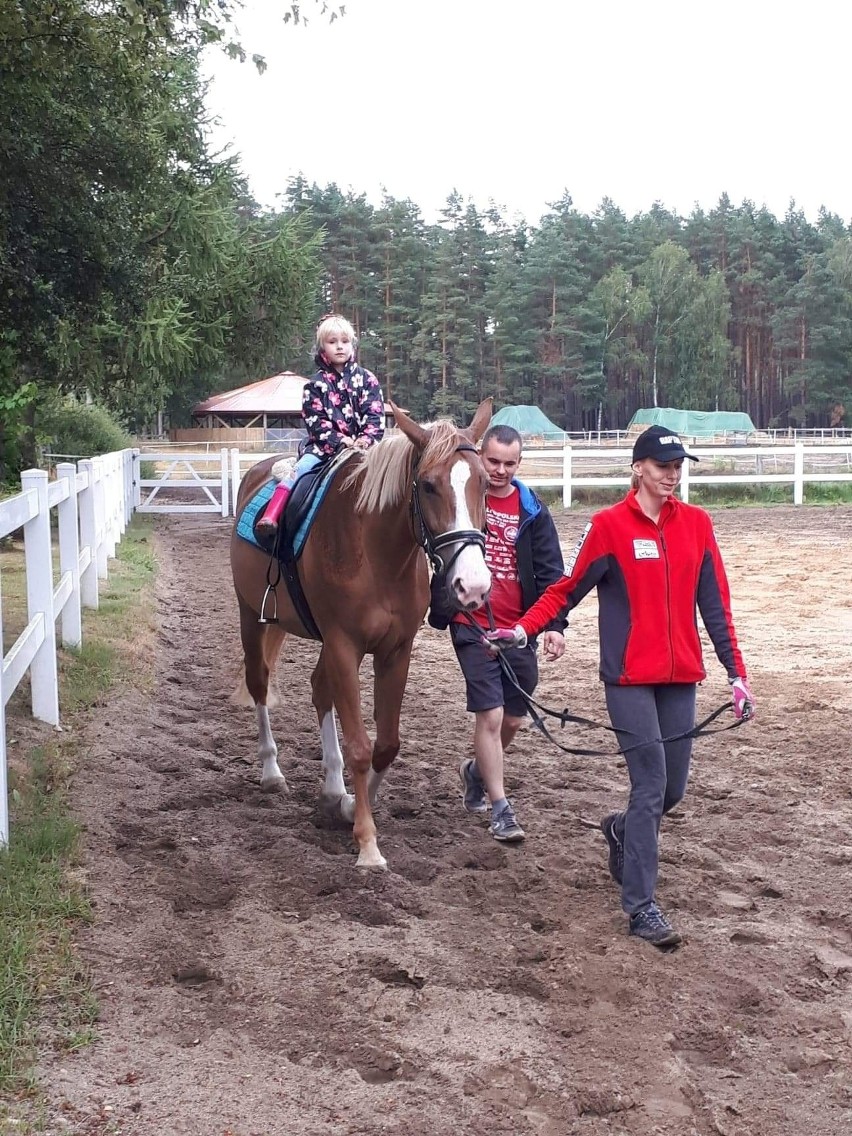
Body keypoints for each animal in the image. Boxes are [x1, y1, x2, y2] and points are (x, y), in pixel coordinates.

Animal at [230, 399, 493, 867]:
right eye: (428, 485)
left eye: (483, 482)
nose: (474, 585)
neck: (376, 552)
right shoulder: (343, 645)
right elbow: (359, 746)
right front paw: (368, 844)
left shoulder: (396, 651)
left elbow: (386, 743)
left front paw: (352, 805)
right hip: (252, 618)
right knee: (259, 684)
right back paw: (272, 772)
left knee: (320, 690)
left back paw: (334, 789)